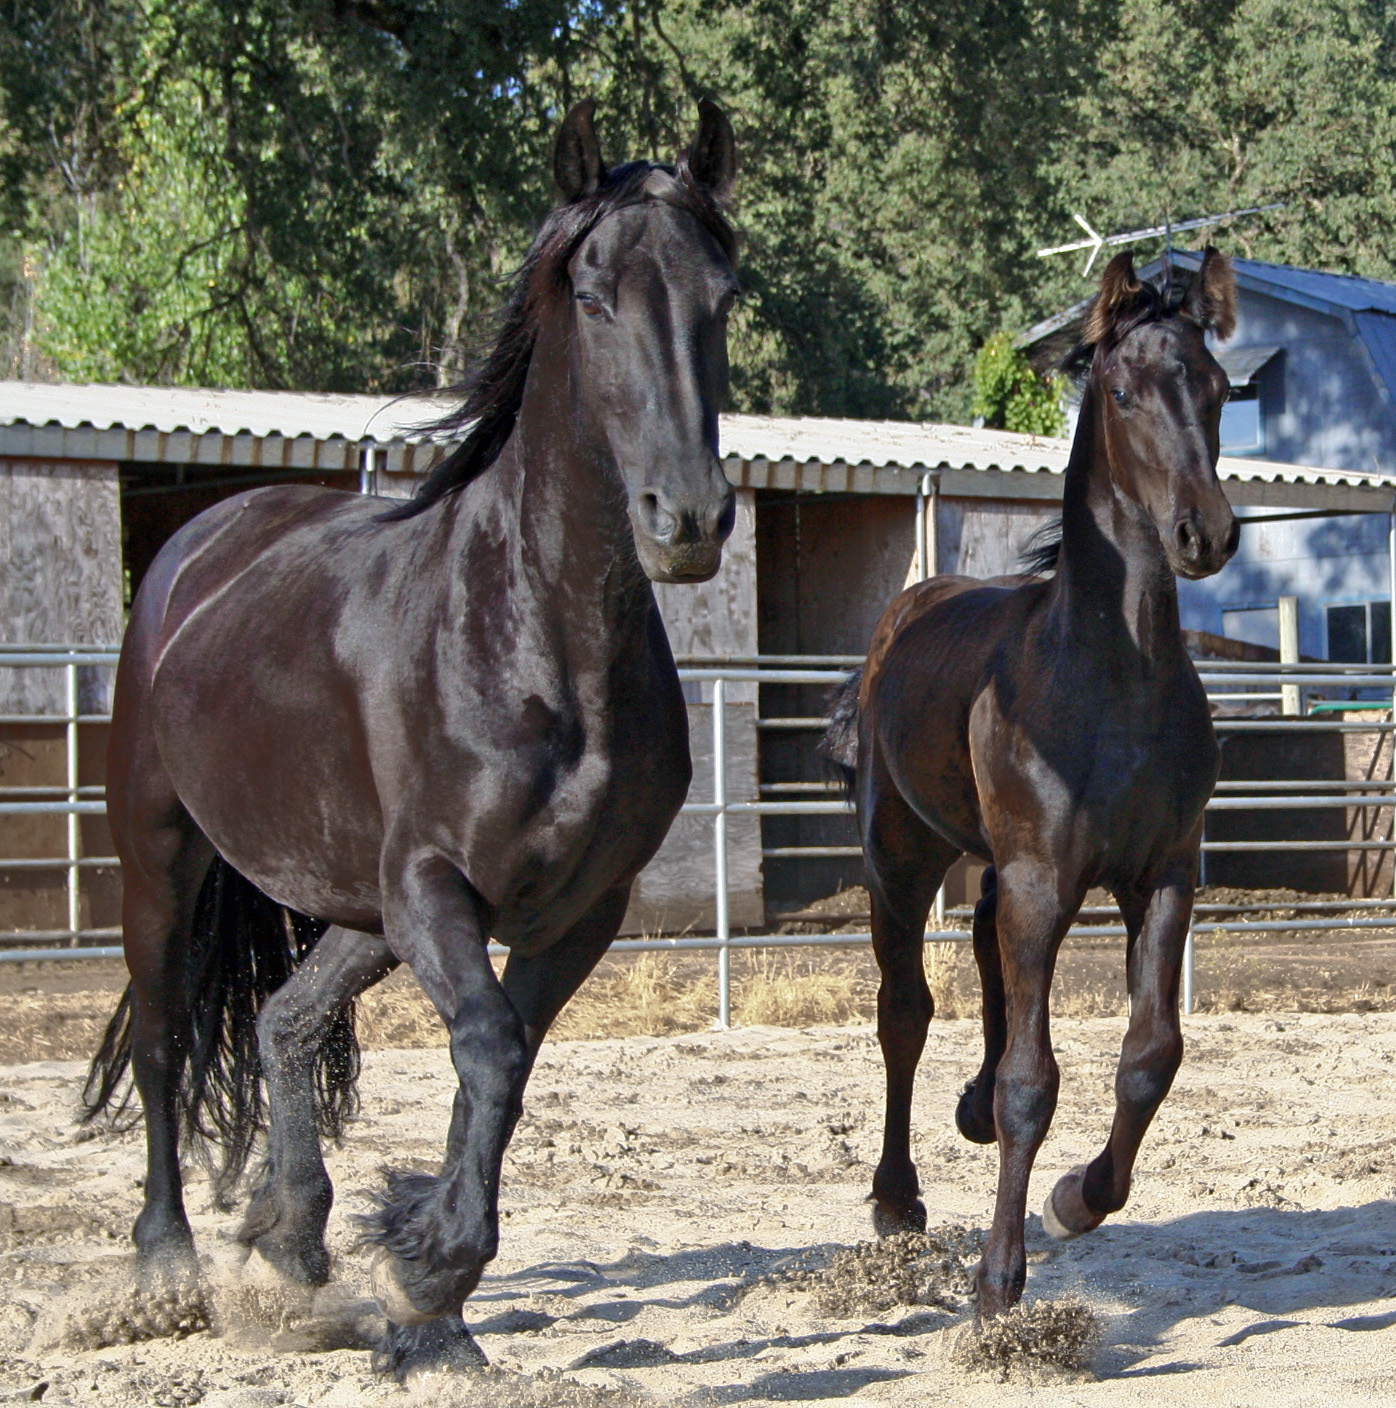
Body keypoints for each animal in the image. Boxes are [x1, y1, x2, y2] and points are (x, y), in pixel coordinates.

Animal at [83, 97, 740, 1378]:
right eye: (594, 295)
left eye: (722, 296)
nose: (687, 519)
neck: (531, 638)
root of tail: (201, 541)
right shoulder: (436, 884)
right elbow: (485, 1044)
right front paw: (429, 1268)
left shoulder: (574, 908)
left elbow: (505, 1064)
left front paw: (430, 1306)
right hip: (163, 857)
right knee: (167, 1041)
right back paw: (165, 1267)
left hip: (357, 902)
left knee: (284, 1018)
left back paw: (292, 1239)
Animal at [821, 248, 1239, 1320]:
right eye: (1124, 391)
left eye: (1219, 388)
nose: (1204, 533)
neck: (1110, 681)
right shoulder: (1047, 880)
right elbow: (1031, 1082)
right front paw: (999, 1279)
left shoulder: (1162, 876)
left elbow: (1150, 1056)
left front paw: (1078, 1199)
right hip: (902, 862)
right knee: (904, 1014)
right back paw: (897, 1199)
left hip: (999, 870)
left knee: (983, 955)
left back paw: (966, 1118)